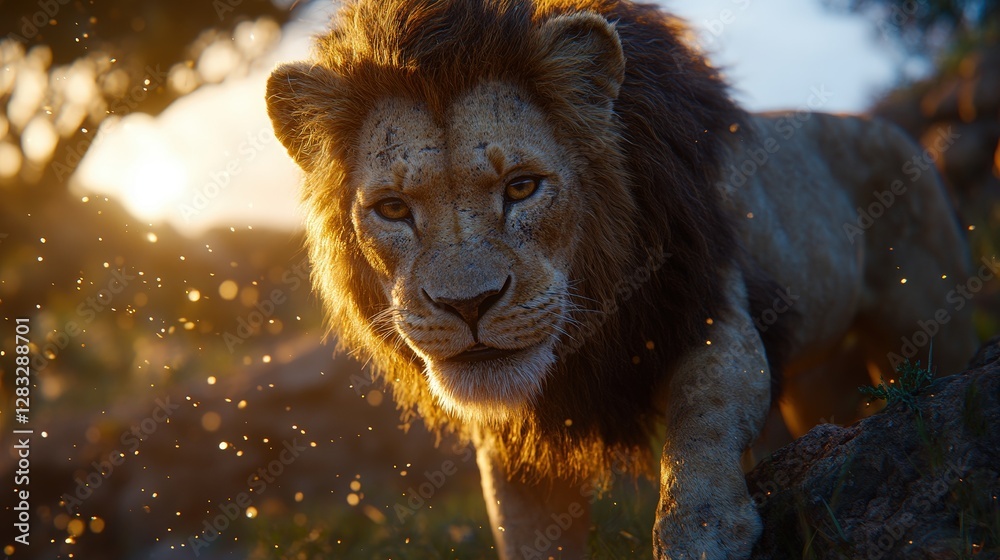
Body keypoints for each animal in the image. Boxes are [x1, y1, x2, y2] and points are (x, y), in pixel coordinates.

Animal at [265, 0, 978, 557]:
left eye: (521, 187)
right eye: (392, 210)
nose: (468, 305)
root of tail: (893, 130)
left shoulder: (712, 311)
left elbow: (703, 419)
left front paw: (701, 534)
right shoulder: (513, 443)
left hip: (928, 321)